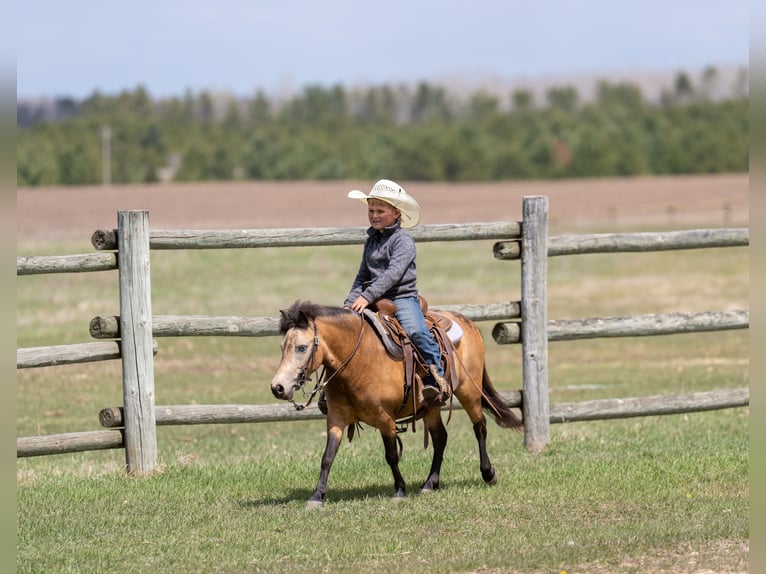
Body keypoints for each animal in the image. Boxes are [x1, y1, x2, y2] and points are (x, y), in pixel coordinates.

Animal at [270, 300, 522, 508]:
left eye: (302, 347)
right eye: (282, 347)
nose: (278, 387)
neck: (359, 360)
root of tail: (468, 322)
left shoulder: (385, 419)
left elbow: (391, 455)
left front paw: (399, 490)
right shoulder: (336, 418)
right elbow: (327, 457)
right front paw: (317, 496)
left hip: (469, 391)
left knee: (480, 427)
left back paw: (488, 473)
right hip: (432, 406)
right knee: (440, 438)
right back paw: (430, 483)